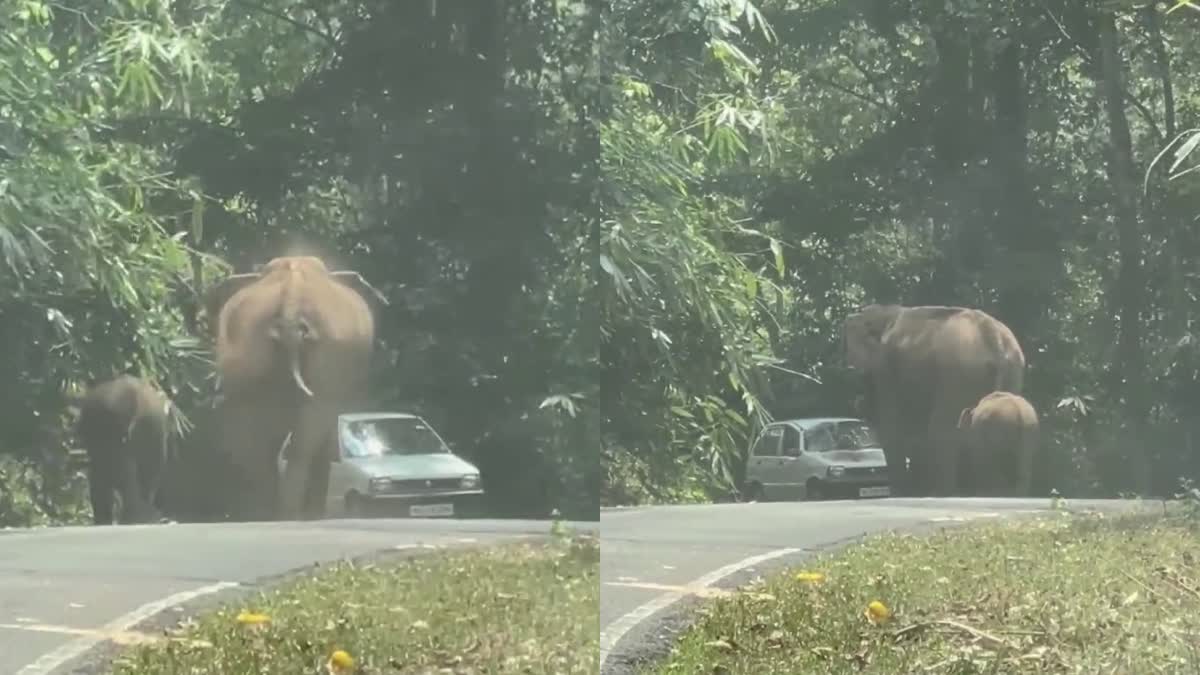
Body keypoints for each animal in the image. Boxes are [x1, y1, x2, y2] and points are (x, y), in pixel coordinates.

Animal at [204, 254, 386, 516]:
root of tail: (292, 301)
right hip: (331, 352)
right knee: (305, 438)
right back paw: (294, 514)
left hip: (246, 346)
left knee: (255, 438)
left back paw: (270, 513)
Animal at [844, 303, 1022, 494]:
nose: (859, 402)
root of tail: (995, 340)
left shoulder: (885, 370)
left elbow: (891, 427)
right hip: (1011, 372)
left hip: (958, 373)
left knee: (940, 430)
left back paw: (945, 493)